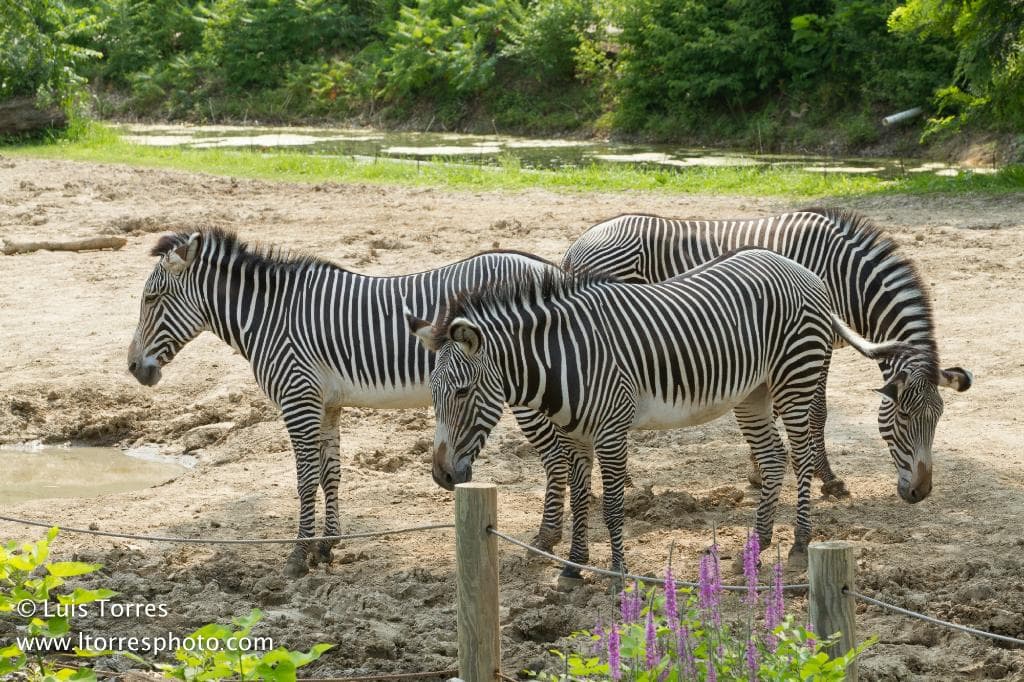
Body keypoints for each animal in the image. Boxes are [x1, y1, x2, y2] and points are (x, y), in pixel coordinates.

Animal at [126, 228, 557, 577]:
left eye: (151, 298)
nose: (132, 367)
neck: (268, 318)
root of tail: (547, 265)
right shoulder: (326, 405)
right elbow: (328, 475)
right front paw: (326, 546)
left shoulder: (297, 399)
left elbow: (303, 480)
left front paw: (298, 555)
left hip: (527, 391)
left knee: (558, 455)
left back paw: (546, 540)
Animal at [409, 247, 898, 576]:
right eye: (433, 393)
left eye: (464, 391)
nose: (442, 476)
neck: (562, 358)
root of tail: (803, 270)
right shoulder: (573, 436)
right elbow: (581, 499)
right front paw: (574, 566)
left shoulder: (611, 430)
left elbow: (611, 506)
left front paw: (617, 574)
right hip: (752, 393)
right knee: (776, 459)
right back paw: (757, 545)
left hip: (795, 378)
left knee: (801, 455)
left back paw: (799, 542)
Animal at [556, 209, 972, 501]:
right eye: (903, 418)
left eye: (937, 420)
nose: (920, 493)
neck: (848, 276)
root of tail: (577, 245)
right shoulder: (816, 340)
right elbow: (817, 413)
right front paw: (827, 480)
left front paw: (759, 471)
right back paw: (622, 481)